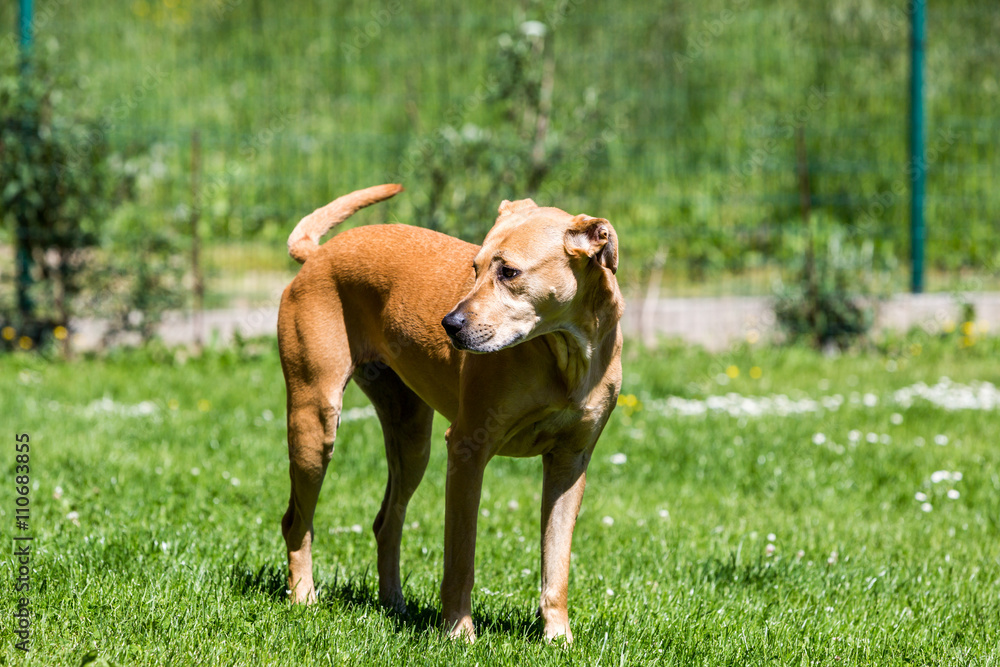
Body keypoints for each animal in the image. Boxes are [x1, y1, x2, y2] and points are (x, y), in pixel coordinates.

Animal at [278, 184, 620, 640]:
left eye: (509, 272)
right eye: (474, 267)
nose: (449, 325)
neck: (563, 353)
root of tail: (318, 254)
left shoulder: (570, 463)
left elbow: (556, 563)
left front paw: (557, 637)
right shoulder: (466, 450)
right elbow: (460, 558)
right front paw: (459, 633)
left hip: (411, 440)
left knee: (386, 522)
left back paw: (394, 604)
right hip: (314, 424)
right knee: (297, 522)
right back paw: (304, 596)